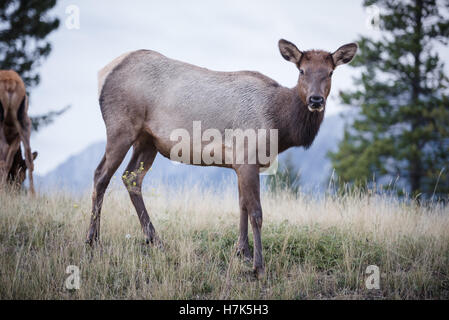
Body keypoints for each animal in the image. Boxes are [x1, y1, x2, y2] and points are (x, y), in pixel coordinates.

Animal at [86, 39, 356, 278]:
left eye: (330, 72)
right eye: (301, 70)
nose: (315, 100)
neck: (281, 125)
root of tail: (103, 73)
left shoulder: (240, 163)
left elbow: (242, 206)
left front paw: (242, 252)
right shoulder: (247, 157)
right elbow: (256, 212)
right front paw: (259, 267)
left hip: (147, 140)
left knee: (131, 177)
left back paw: (155, 240)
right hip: (121, 126)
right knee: (101, 175)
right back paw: (93, 241)